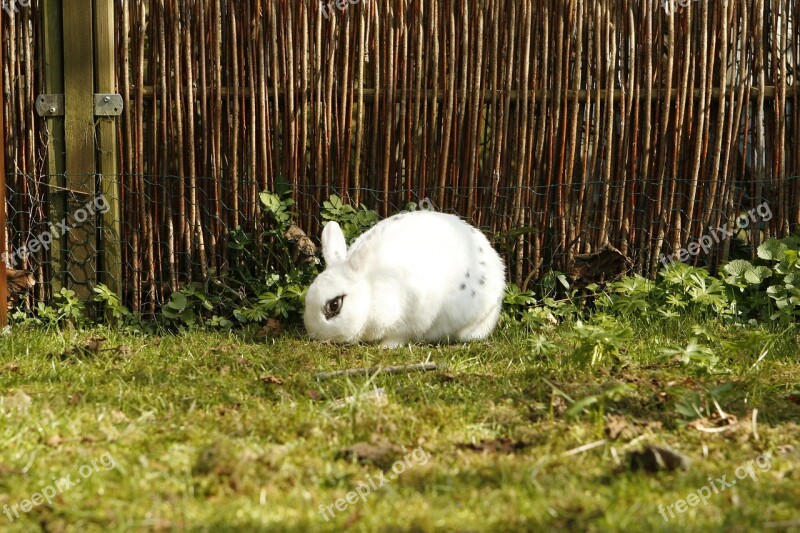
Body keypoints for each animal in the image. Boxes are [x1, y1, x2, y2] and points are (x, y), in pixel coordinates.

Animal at [304, 210, 504, 348]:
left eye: (334, 305)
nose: (314, 334)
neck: (371, 292)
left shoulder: (415, 316)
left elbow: (400, 336)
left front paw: (384, 347)